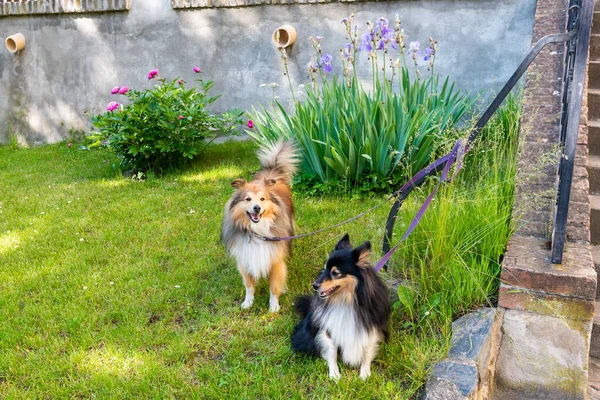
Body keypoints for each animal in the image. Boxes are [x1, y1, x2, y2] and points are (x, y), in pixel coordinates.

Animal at [221, 141, 298, 312]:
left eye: (263, 199)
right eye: (248, 199)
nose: (257, 208)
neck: (257, 231)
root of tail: (272, 170)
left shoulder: (275, 260)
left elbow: (274, 287)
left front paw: (274, 307)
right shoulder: (245, 258)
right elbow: (249, 285)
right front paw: (248, 303)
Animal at [290, 234, 390, 382]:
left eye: (335, 273)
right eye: (324, 269)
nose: (314, 285)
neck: (345, 300)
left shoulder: (370, 327)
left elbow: (367, 352)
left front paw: (365, 373)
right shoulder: (328, 328)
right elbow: (332, 351)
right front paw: (335, 374)